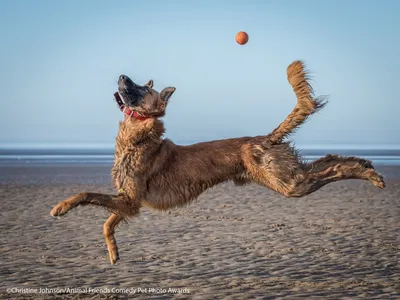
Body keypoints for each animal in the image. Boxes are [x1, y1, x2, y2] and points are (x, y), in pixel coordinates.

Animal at [50, 61, 384, 264]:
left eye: (143, 88)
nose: (121, 75)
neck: (138, 136)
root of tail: (266, 138)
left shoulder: (130, 199)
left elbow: (85, 195)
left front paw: (61, 207)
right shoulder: (129, 203)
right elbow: (107, 223)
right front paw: (114, 254)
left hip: (288, 183)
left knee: (332, 169)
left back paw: (371, 175)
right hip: (288, 175)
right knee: (328, 160)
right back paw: (365, 163)